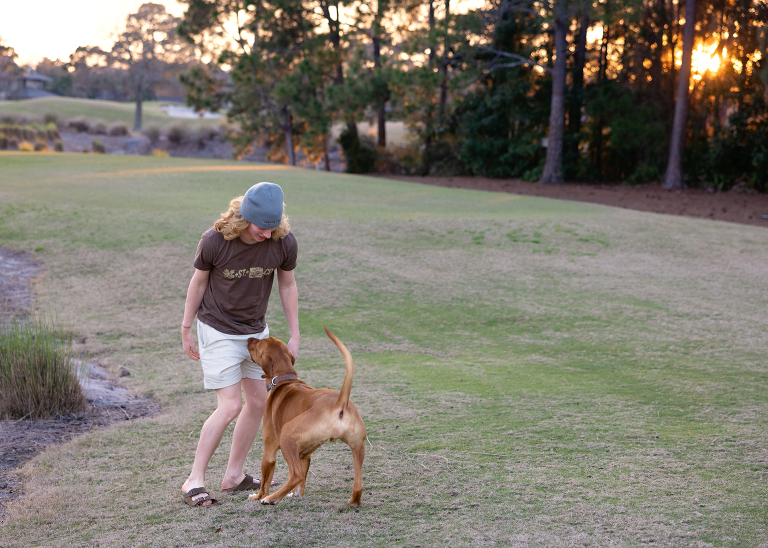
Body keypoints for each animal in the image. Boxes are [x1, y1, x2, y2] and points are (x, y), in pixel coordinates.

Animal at [246, 327, 366, 506]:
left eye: (258, 343)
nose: (248, 339)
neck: (284, 378)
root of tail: (340, 402)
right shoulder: (304, 456)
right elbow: (301, 482)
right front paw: (296, 495)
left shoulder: (269, 451)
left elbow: (266, 481)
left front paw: (259, 496)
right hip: (358, 446)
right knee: (358, 485)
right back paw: (353, 501)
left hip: (287, 435)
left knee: (295, 475)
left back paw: (271, 498)